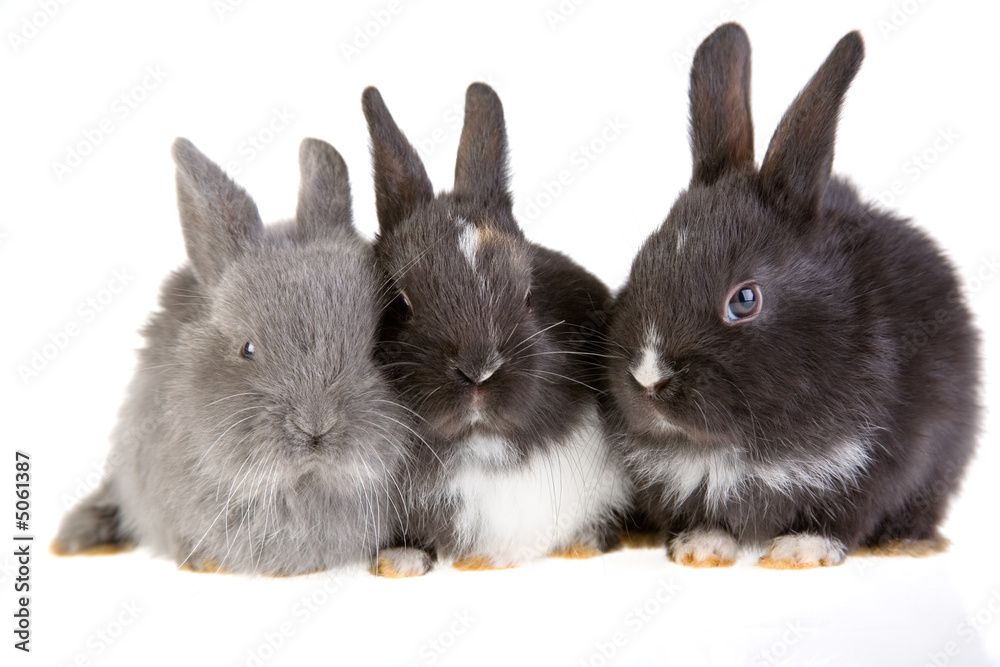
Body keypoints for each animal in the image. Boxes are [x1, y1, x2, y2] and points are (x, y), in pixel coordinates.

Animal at [604, 24, 980, 569]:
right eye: (639, 265)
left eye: (744, 300)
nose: (648, 378)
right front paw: (700, 547)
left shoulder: (875, 463)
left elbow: (841, 517)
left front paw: (800, 551)